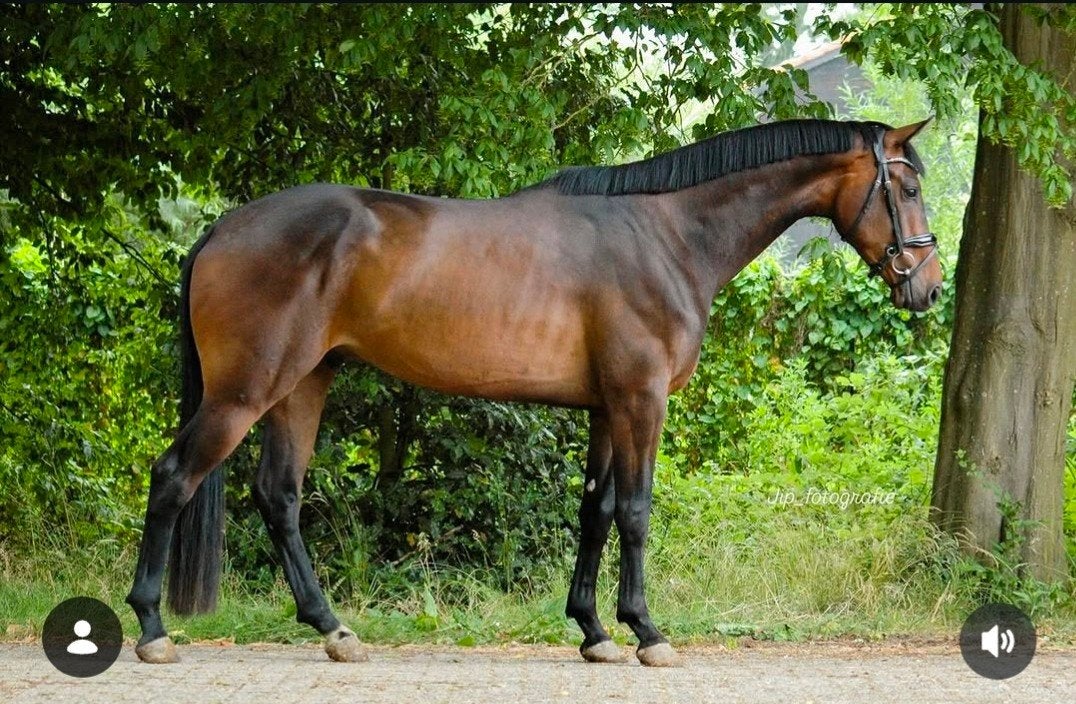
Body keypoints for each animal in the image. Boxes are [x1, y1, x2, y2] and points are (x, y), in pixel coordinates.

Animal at [126, 118, 942, 667]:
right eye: (905, 186)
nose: (929, 287)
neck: (668, 233)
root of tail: (223, 229)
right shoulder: (642, 400)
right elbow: (636, 513)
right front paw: (648, 632)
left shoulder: (607, 408)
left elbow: (597, 512)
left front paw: (595, 631)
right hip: (245, 391)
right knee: (174, 478)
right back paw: (153, 630)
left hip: (302, 384)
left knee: (280, 497)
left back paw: (333, 629)